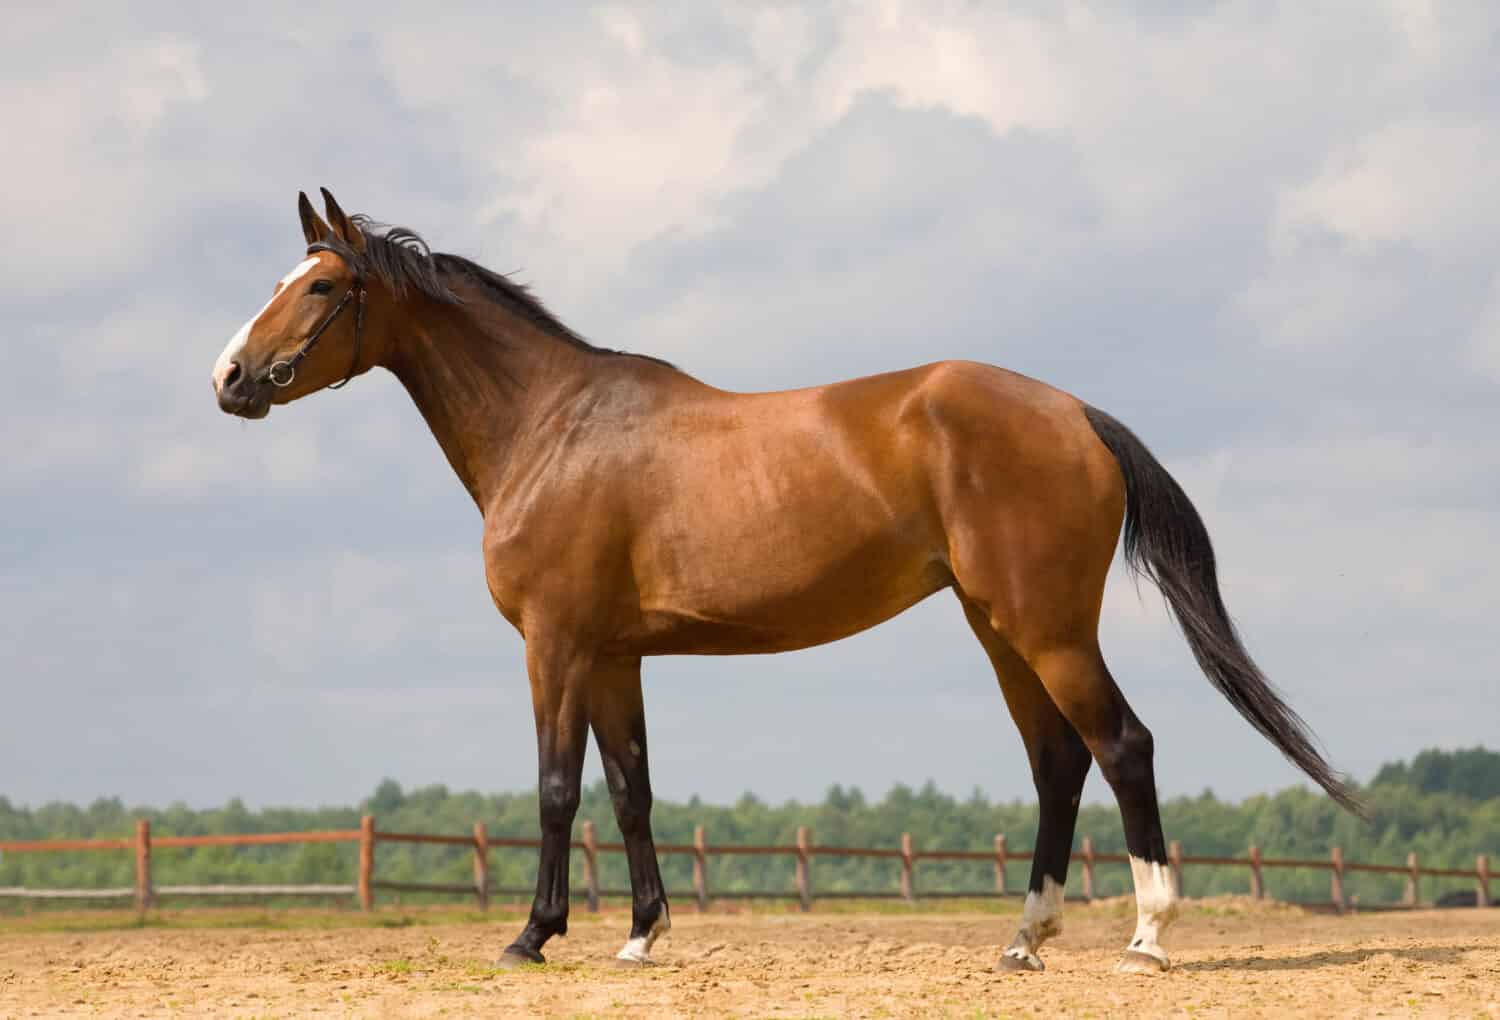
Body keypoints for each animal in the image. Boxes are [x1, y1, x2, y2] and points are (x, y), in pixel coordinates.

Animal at [214, 189, 1374, 972]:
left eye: (321, 287)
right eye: (280, 281)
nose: (229, 378)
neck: (553, 427)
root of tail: (1075, 412)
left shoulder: (556, 644)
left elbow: (554, 790)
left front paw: (533, 937)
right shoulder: (616, 656)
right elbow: (630, 789)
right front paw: (641, 935)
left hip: (1043, 626)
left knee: (1122, 746)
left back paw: (1146, 936)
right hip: (999, 627)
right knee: (1057, 761)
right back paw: (1024, 940)